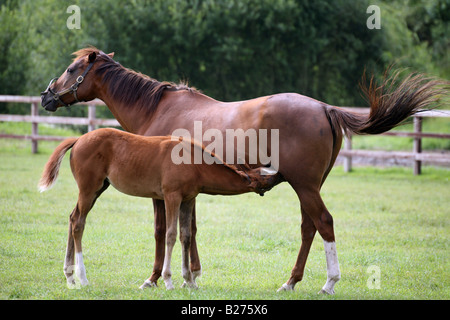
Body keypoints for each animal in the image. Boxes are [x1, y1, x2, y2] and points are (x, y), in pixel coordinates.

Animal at [39, 128, 278, 290]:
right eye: (265, 177)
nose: (281, 175)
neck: (192, 161)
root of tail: (79, 139)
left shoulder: (188, 200)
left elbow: (186, 235)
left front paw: (190, 281)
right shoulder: (172, 197)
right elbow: (171, 235)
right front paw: (169, 280)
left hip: (98, 189)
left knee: (73, 218)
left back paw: (69, 276)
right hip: (89, 189)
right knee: (79, 224)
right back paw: (82, 277)